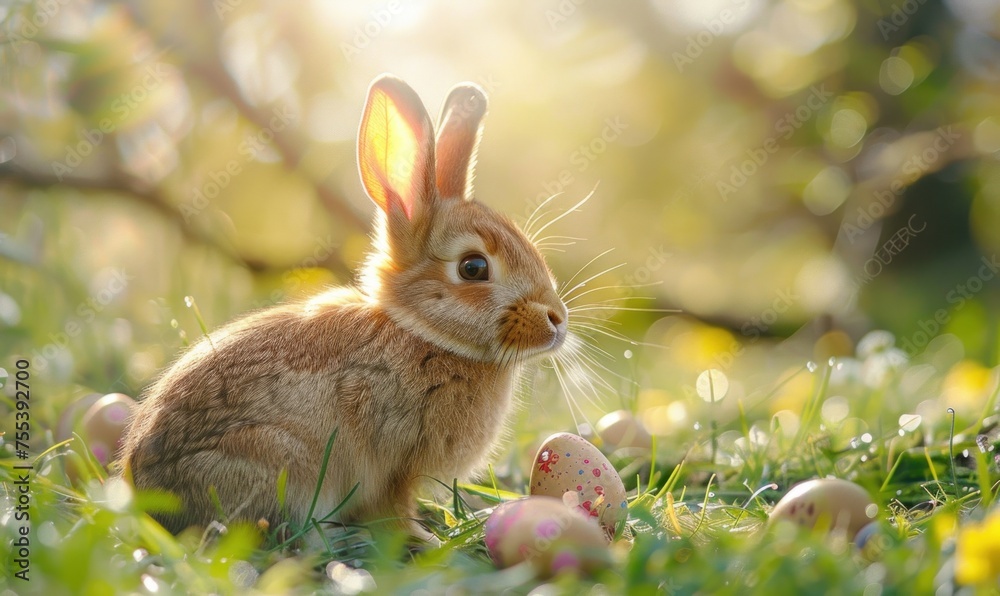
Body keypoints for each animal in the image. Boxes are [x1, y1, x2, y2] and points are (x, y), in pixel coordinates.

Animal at [118, 74, 569, 543]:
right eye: (474, 267)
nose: (558, 320)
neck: (422, 333)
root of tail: (147, 492)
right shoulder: (395, 463)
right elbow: (395, 508)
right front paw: (424, 539)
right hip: (281, 458)